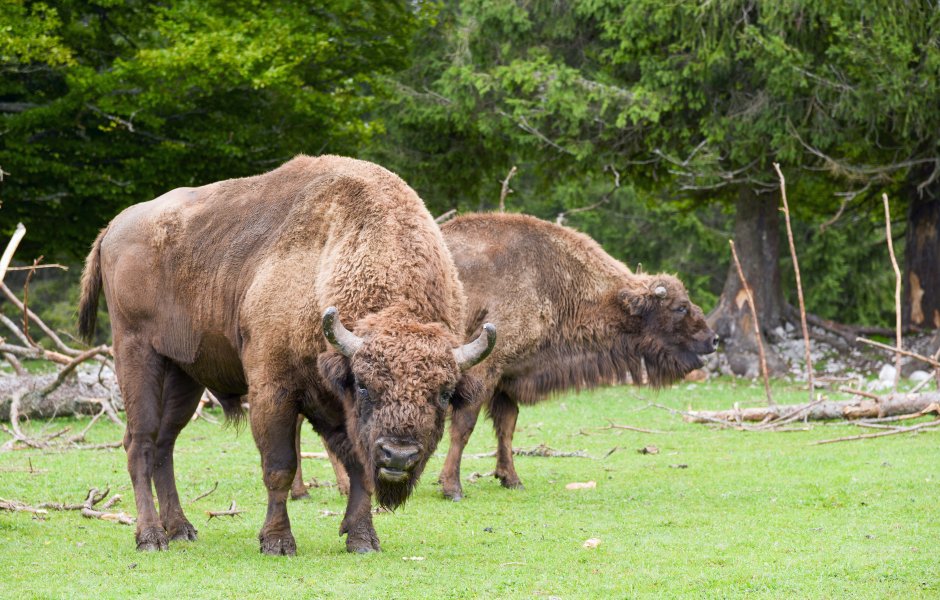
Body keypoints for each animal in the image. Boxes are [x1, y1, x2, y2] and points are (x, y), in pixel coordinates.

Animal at [79, 155, 500, 552]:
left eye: (443, 394)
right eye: (364, 385)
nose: (398, 456)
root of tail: (113, 228)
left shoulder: (334, 405)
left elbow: (358, 466)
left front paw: (362, 538)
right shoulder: (274, 389)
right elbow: (279, 466)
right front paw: (278, 541)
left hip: (185, 373)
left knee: (165, 444)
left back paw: (181, 529)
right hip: (136, 353)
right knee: (140, 442)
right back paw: (152, 537)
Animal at [436, 213, 716, 500]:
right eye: (680, 307)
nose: (713, 339)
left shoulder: (507, 378)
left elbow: (506, 427)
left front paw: (511, 479)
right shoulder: (484, 369)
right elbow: (465, 425)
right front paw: (452, 487)